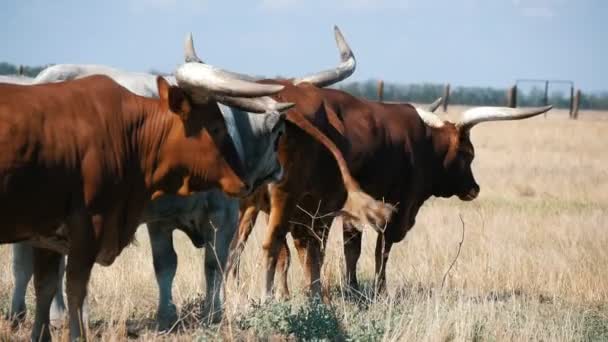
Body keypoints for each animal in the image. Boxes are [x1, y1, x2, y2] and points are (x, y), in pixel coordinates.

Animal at [0, 59, 294, 342]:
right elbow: (214, 264)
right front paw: (213, 314)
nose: (280, 170)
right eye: (279, 134)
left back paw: (27, 313)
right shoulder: (223, 216)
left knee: (28, 265)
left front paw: (166, 315)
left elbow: (165, 264)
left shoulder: (160, 220)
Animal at [227, 88, 552, 300]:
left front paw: (353, 288)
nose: (474, 188)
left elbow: (352, 248)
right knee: (298, 245)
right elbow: (379, 249)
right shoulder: (398, 205)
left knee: (262, 243)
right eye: (468, 153)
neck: (421, 143)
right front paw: (377, 290)